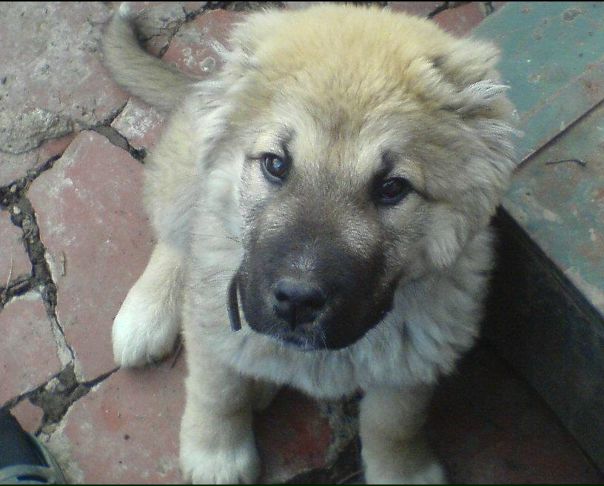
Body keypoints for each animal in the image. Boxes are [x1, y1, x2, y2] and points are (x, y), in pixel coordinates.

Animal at [103, 3, 516, 483]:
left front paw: (402, 470)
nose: (297, 301)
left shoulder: (415, 359)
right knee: (175, 235)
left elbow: (394, 423)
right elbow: (217, 392)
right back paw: (146, 313)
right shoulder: (214, 322)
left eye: (392, 188)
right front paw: (216, 454)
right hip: (185, 178)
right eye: (275, 164)